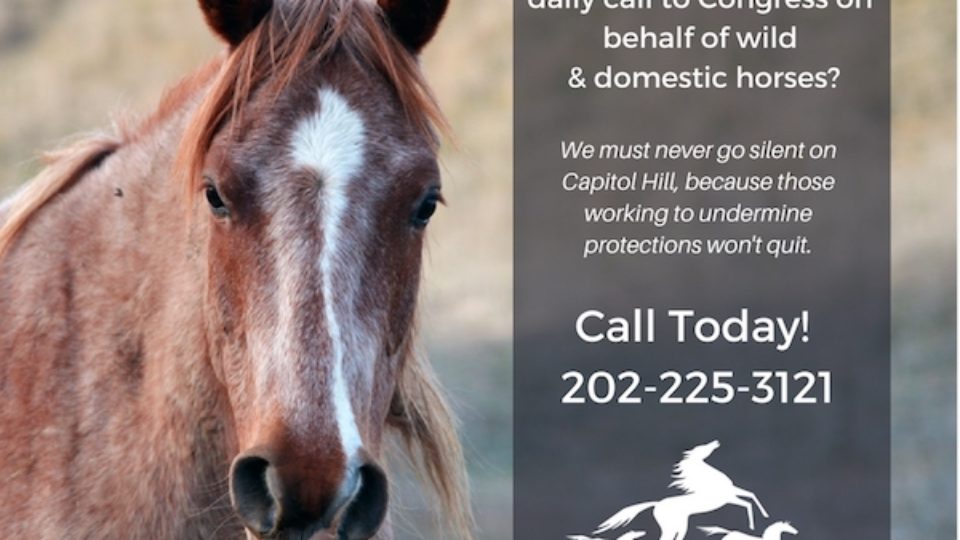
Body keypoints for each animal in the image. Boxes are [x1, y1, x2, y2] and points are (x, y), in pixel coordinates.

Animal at [594, 441, 769, 540]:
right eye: (701, 447)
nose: (716, 442)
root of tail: (656, 504)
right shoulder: (728, 497)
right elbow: (748, 502)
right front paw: (753, 524)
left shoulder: (732, 493)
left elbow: (751, 496)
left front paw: (764, 516)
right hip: (673, 525)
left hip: (679, 525)